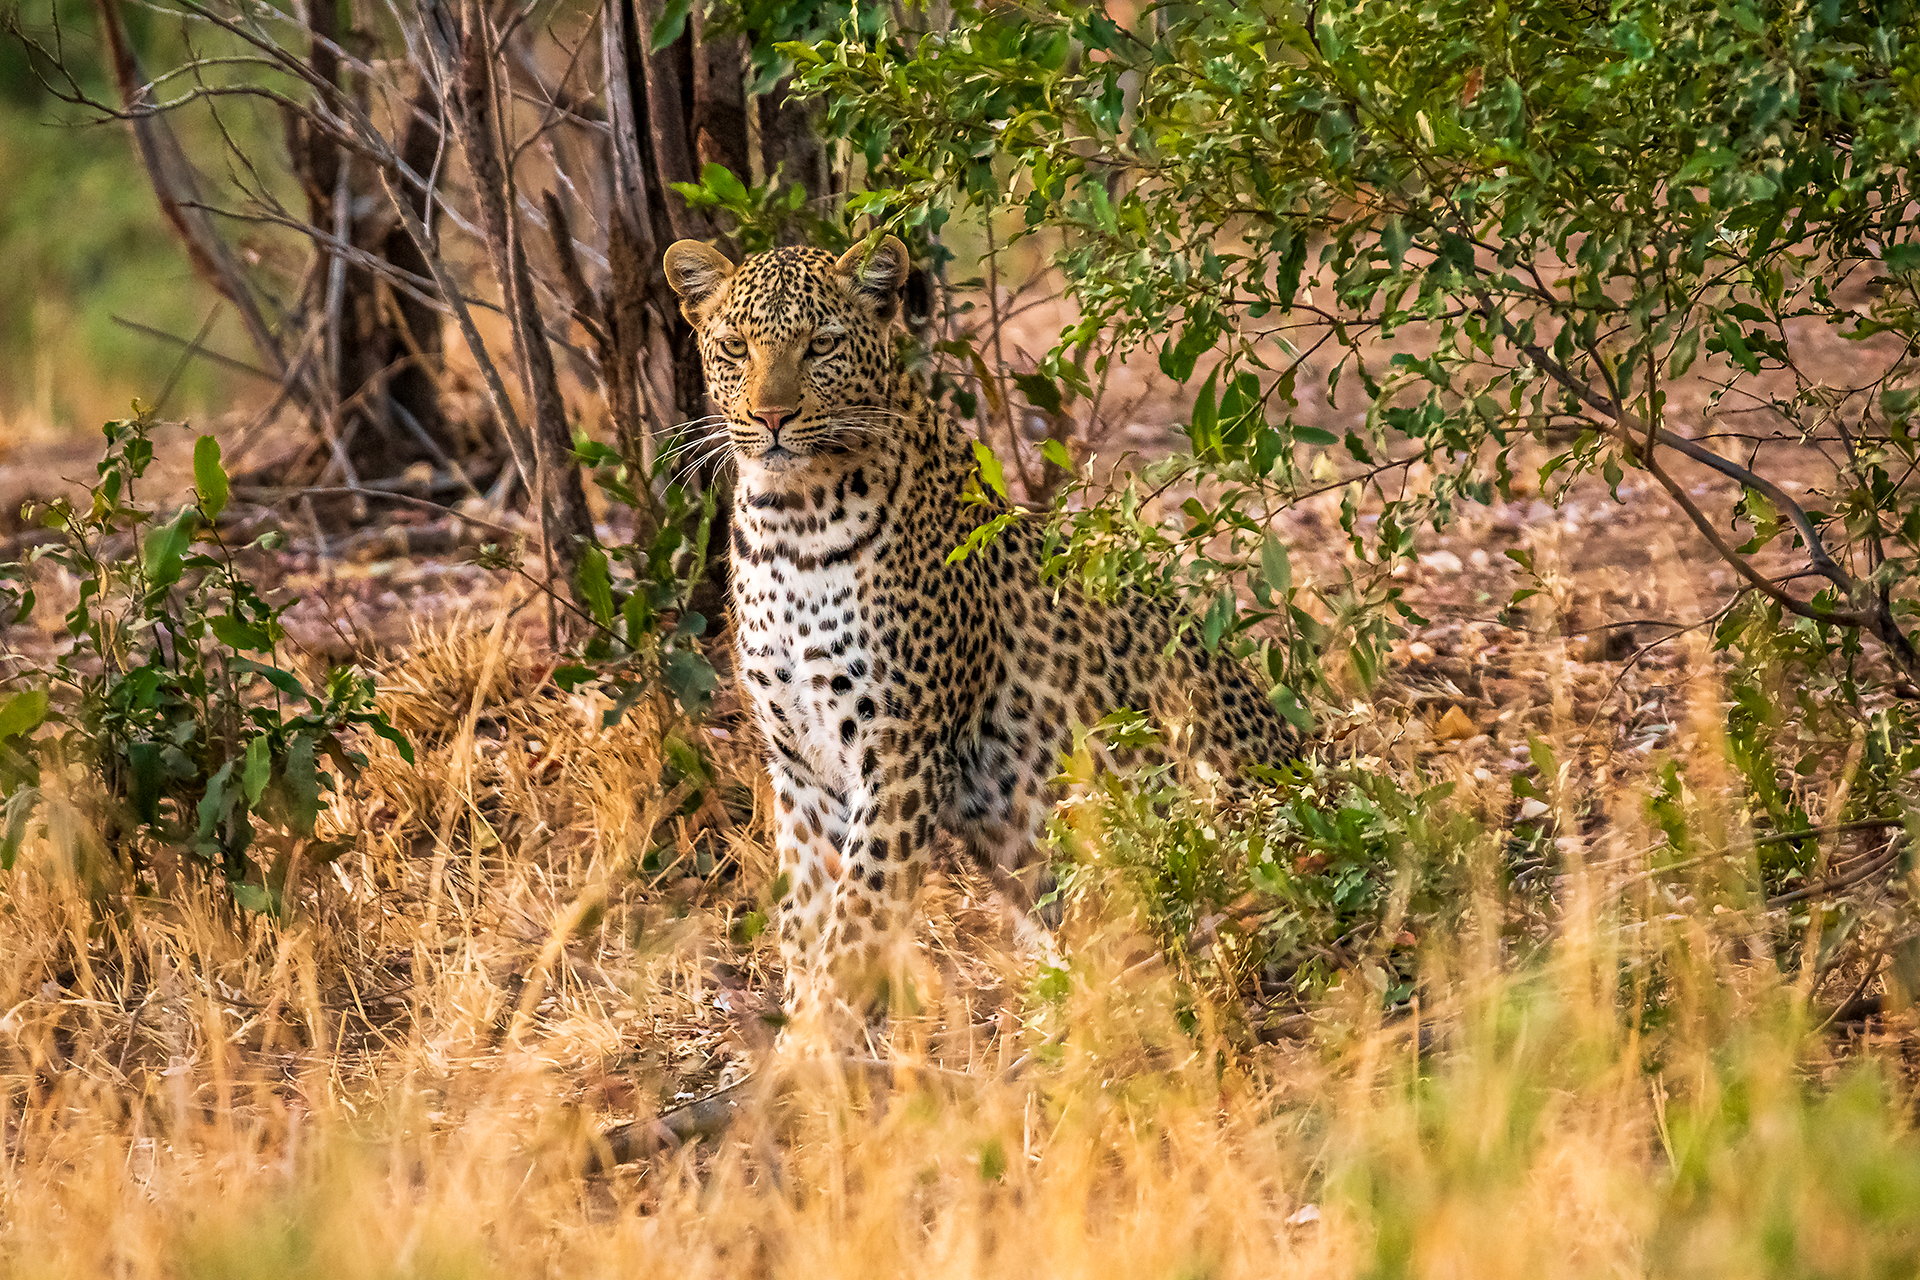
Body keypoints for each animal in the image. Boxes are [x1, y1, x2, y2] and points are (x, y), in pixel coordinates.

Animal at [662, 234, 1301, 1048]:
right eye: (736, 348)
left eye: (822, 345)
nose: (771, 416)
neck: (790, 523)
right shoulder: (799, 762)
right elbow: (804, 910)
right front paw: (807, 1037)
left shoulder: (902, 749)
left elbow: (859, 912)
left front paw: (818, 1037)